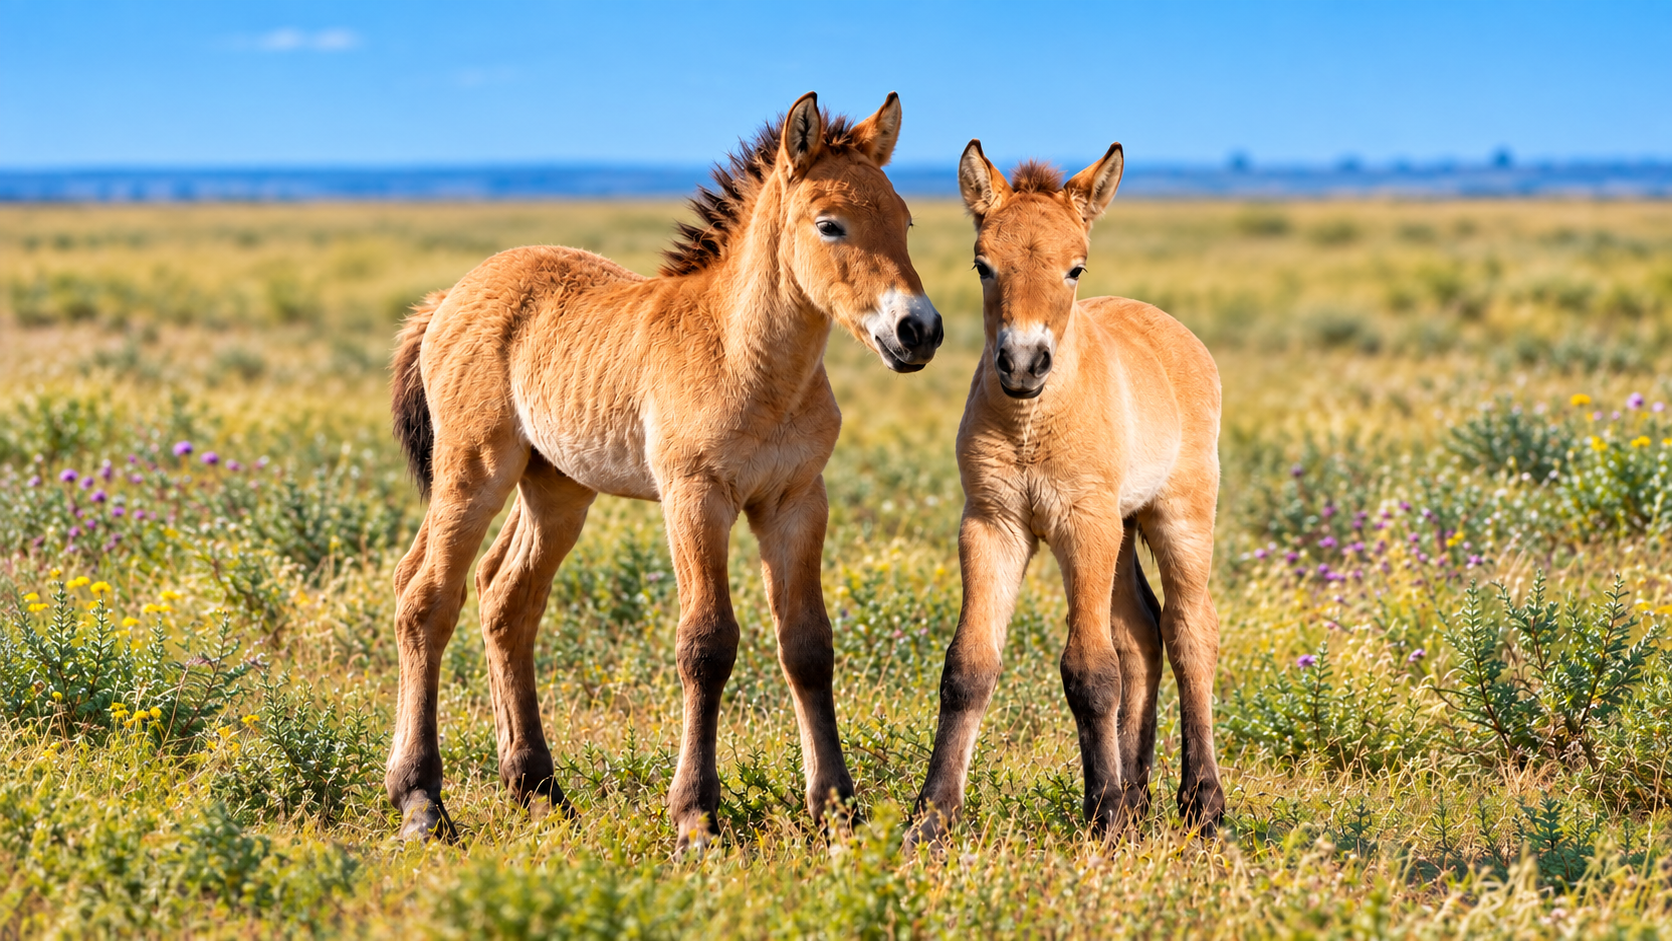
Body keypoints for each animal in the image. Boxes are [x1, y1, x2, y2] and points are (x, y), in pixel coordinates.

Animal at [386, 92, 943, 849]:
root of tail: (449, 296)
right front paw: (696, 819)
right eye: (830, 225)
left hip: (556, 488)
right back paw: (421, 802)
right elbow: (706, 644)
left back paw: (538, 791)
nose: (918, 330)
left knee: (504, 597)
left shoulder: (797, 499)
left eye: (906, 221)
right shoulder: (695, 495)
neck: (752, 362)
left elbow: (808, 644)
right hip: (473, 470)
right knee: (425, 595)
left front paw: (838, 812)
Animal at [910, 140, 1225, 846]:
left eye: (1075, 267)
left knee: (1190, 633)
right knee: (1143, 636)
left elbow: (1089, 671)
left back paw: (1202, 802)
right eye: (982, 265)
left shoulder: (1083, 525)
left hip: (1179, 516)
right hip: (1124, 527)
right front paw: (931, 819)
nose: (1023, 363)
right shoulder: (993, 524)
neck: (1032, 424)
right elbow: (968, 668)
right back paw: (1140, 796)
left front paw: (1104, 816)